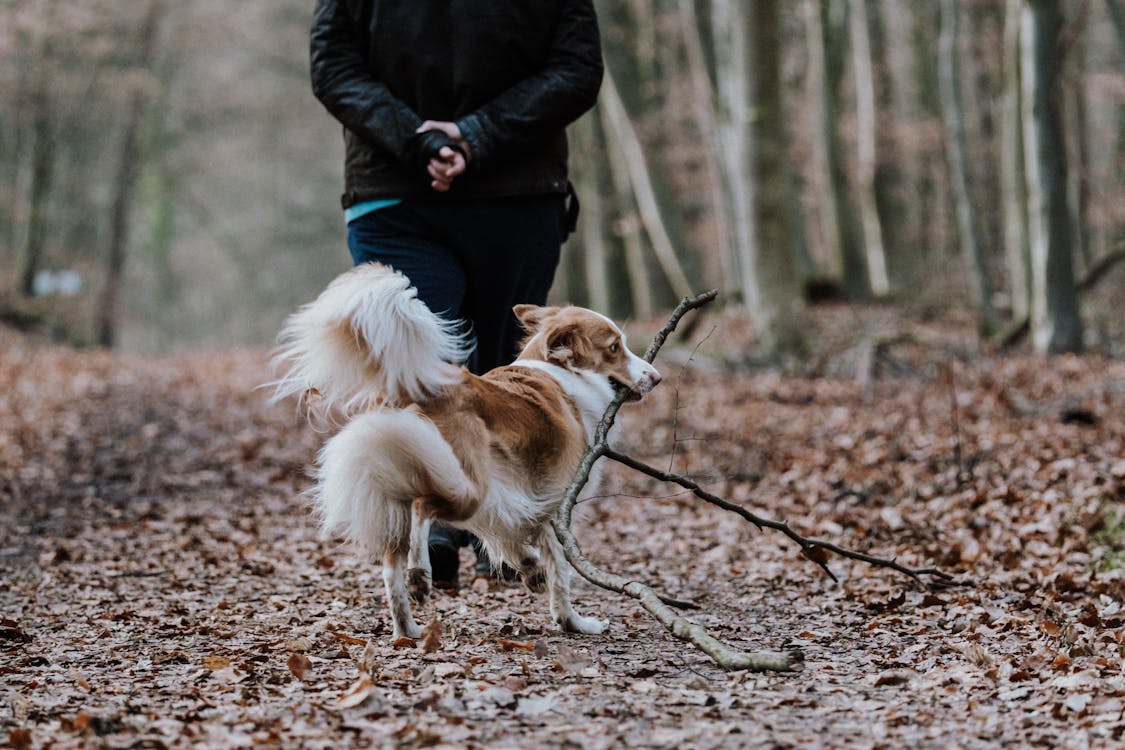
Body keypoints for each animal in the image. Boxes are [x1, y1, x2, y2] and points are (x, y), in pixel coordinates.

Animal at [272, 263, 657, 638]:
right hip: (466, 485)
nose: (656, 377)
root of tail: (412, 384)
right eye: (614, 347)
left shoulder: (519, 500)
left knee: (390, 568)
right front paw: (574, 621)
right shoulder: (553, 502)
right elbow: (560, 569)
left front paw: (533, 572)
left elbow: (520, 541)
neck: (563, 375)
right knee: (422, 508)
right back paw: (421, 575)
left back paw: (408, 628)